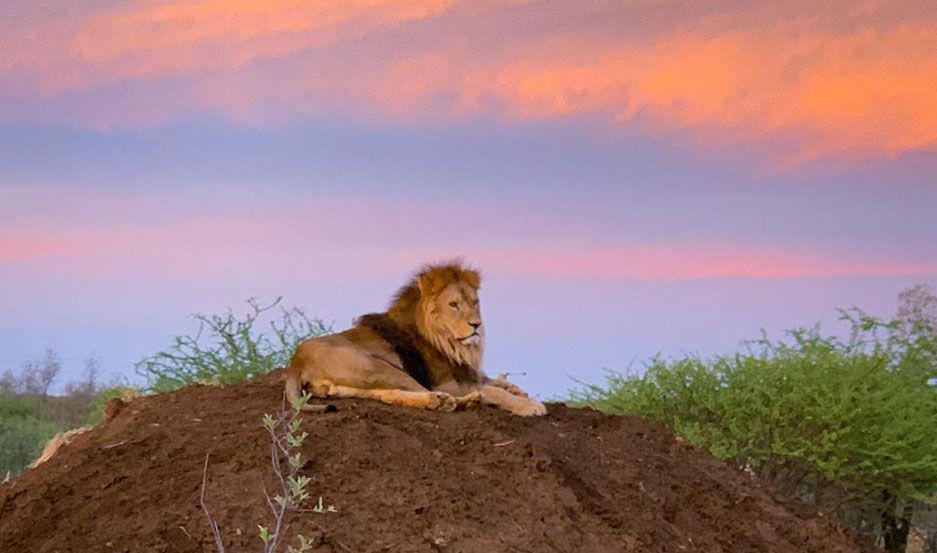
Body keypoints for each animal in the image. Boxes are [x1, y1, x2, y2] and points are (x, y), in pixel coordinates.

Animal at [286, 262, 548, 414]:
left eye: (475, 303)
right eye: (453, 304)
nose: (476, 325)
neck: (451, 342)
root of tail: (296, 361)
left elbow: (492, 381)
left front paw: (517, 390)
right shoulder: (446, 382)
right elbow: (492, 390)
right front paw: (529, 405)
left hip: (349, 385)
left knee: (384, 394)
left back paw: (439, 402)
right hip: (376, 366)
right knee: (441, 393)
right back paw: (459, 401)